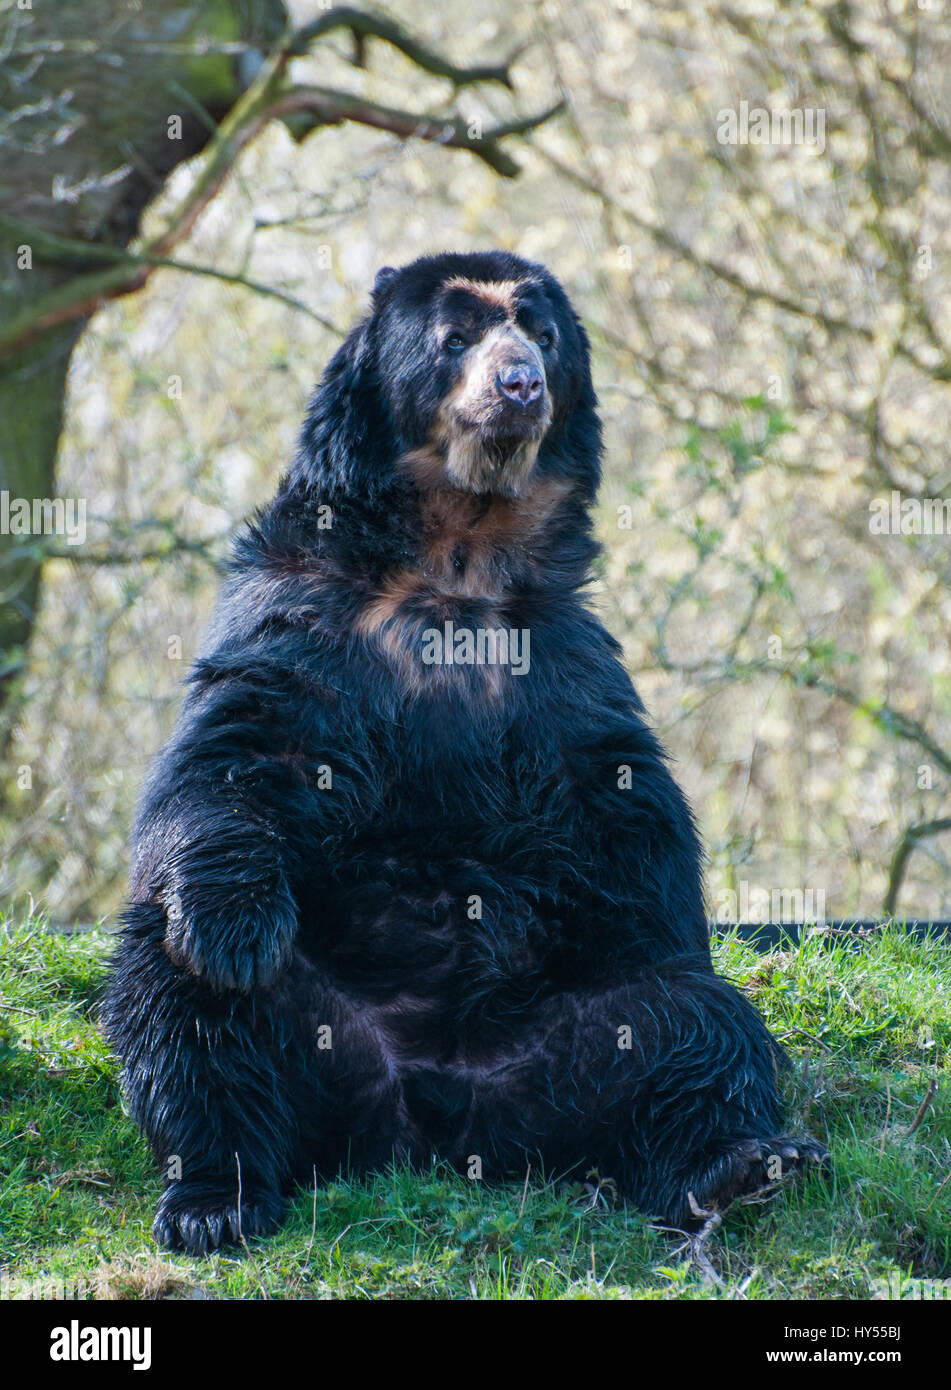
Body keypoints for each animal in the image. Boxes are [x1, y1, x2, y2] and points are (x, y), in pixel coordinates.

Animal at [102, 250, 828, 1255]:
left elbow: (622, 801)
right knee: (180, 1011)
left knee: (693, 1022)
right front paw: (230, 927)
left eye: (543, 334)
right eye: (454, 339)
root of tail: (438, 1129)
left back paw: (743, 1162)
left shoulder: (558, 657)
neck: (459, 550)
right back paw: (216, 1197)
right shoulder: (306, 613)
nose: (519, 385)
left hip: (581, 1041)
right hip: (310, 1043)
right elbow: (244, 750)